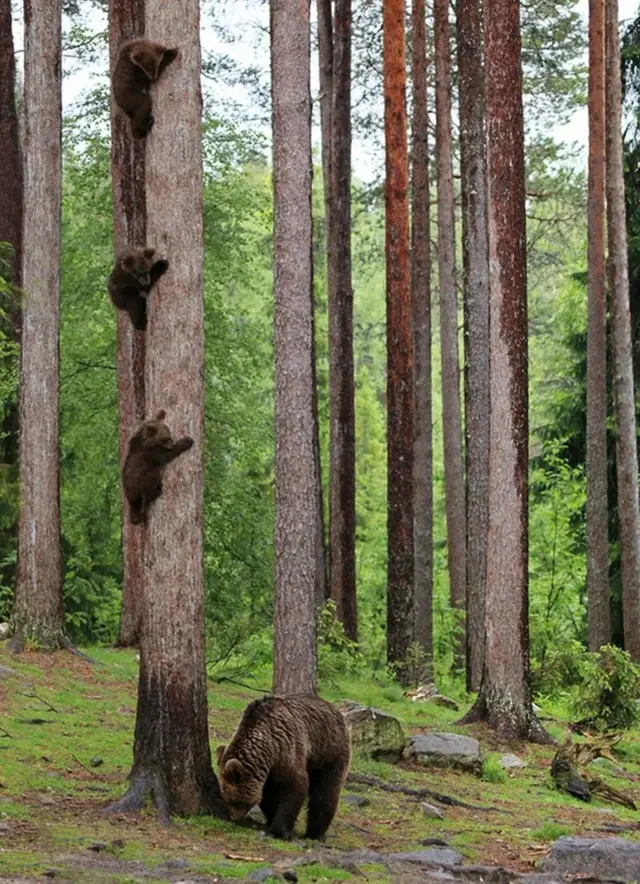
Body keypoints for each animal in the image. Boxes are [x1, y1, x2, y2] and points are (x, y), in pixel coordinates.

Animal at [216, 695, 351, 841]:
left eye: (234, 800)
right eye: (226, 797)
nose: (233, 817)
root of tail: (336, 710)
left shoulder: (287, 749)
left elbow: (294, 788)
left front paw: (281, 830)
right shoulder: (269, 770)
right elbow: (268, 796)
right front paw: (272, 819)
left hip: (330, 751)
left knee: (326, 791)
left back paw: (315, 833)